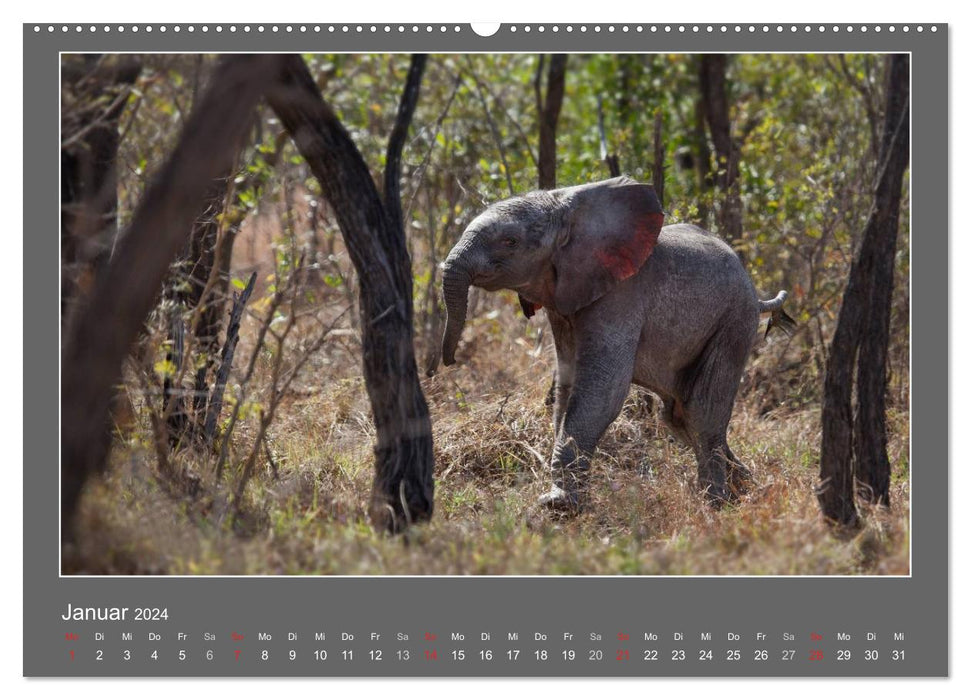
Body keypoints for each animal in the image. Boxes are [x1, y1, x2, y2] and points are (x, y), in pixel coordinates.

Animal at [444, 178, 792, 512]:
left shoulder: (621, 296)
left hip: (735, 322)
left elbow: (604, 389)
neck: (565, 205)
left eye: (510, 242)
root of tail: (756, 294)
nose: (450, 361)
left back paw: (719, 502)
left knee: (701, 411)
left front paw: (558, 506)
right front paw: (566, 499)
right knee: (678, 417)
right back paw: (748, 486)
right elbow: (566, 388)